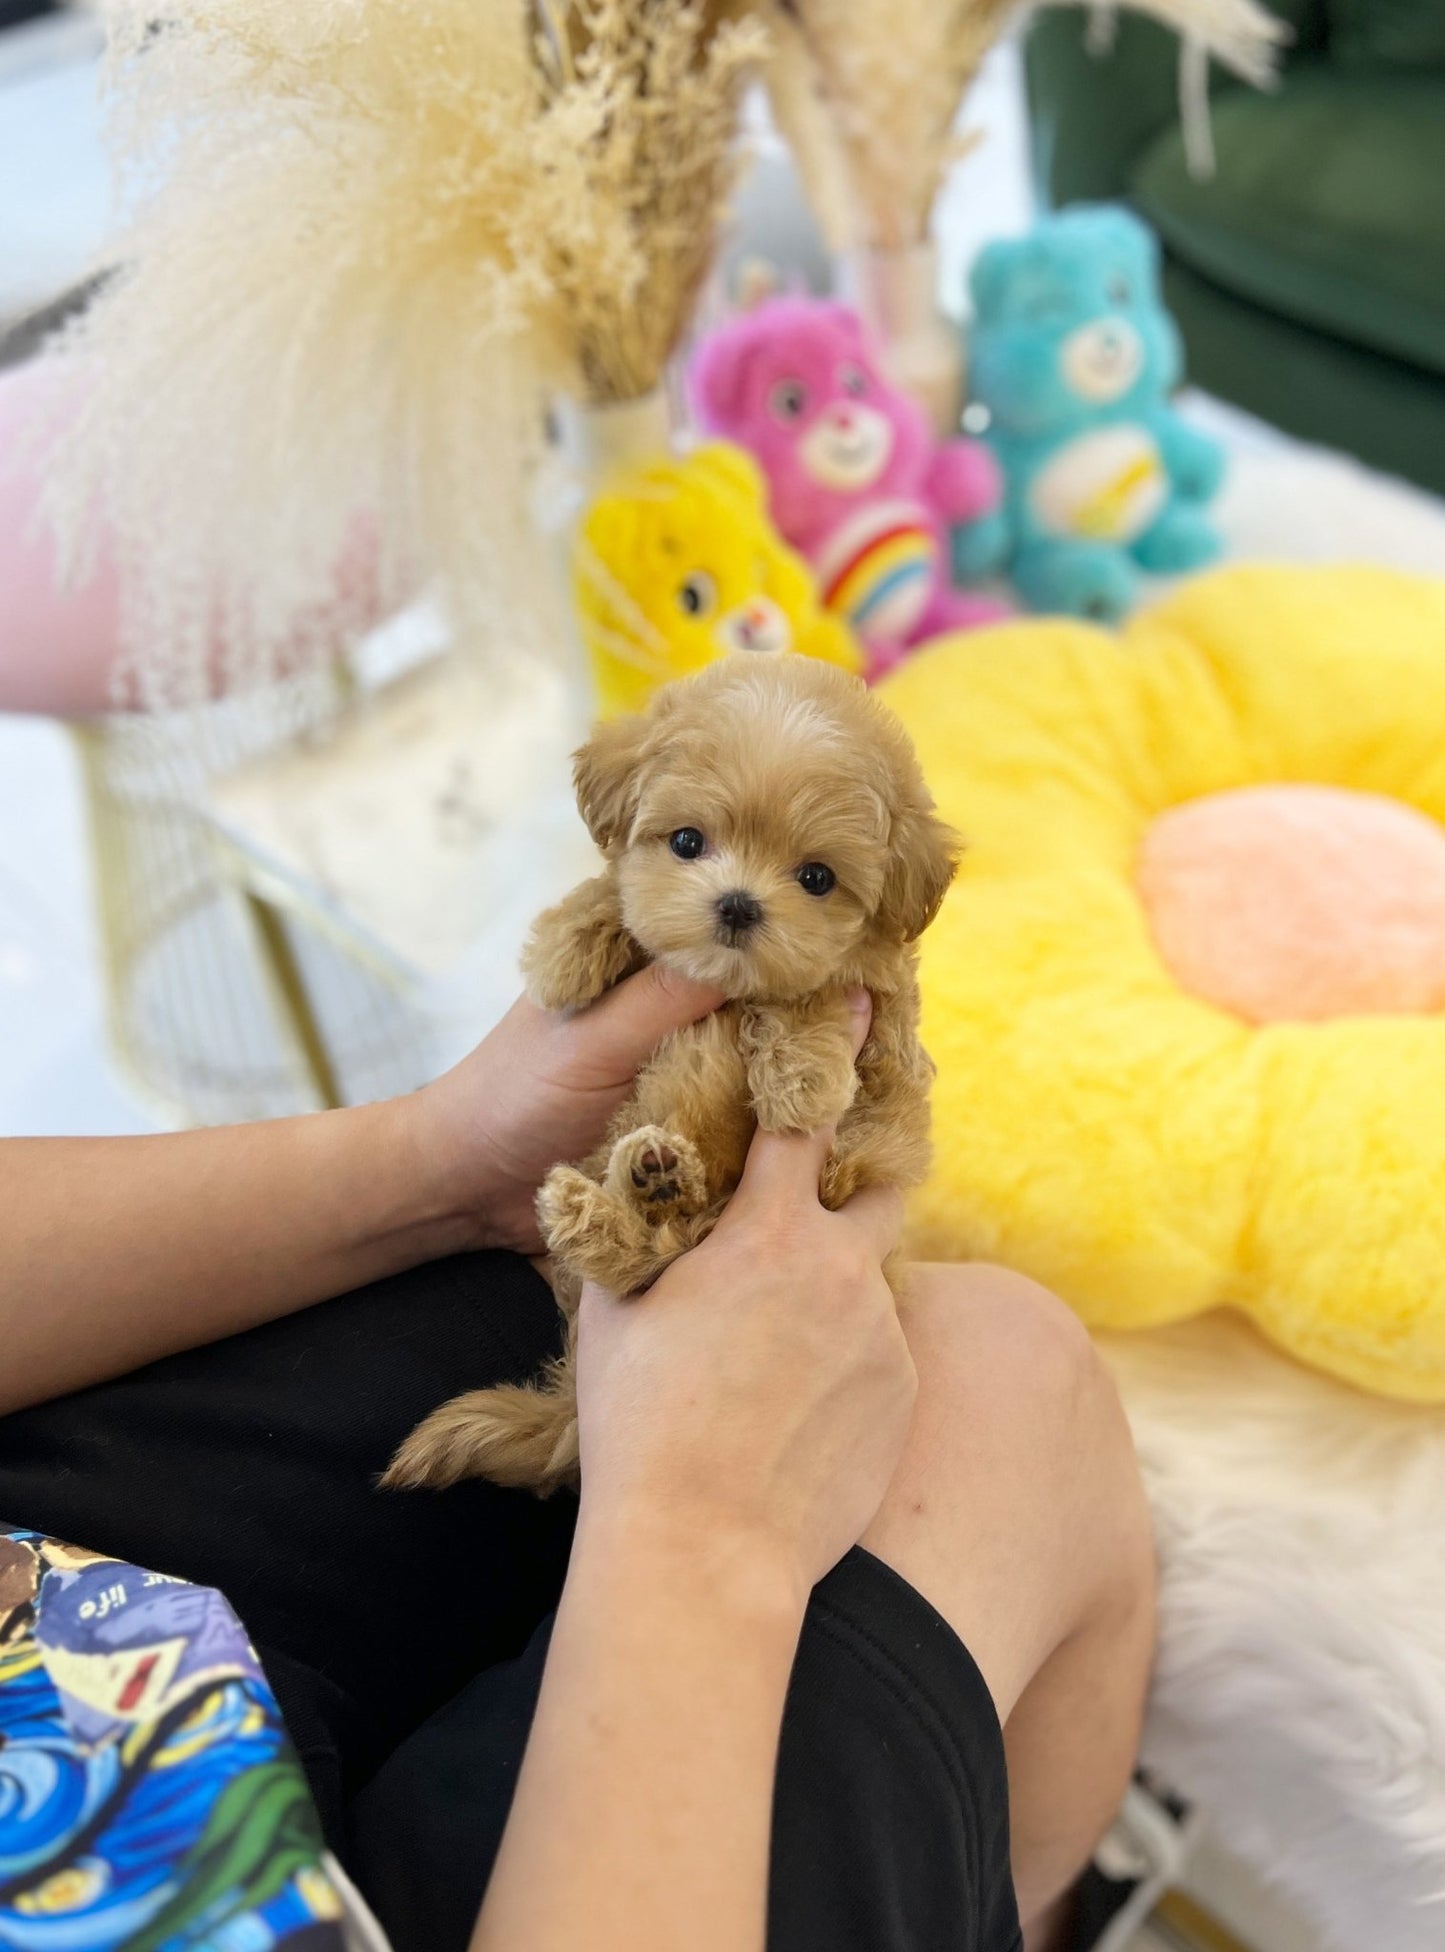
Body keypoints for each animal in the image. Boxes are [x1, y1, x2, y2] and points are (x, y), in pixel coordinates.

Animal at [380, 655, 960, 1491]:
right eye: (687, 841)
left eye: (817, 879)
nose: (738, 905)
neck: (727, 989)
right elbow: (613, 895)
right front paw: (565, 951)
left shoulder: (882, 1042)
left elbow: (816, 995)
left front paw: (800, 1079)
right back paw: (633, 1183)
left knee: (649, 1254)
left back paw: (634, 1188)